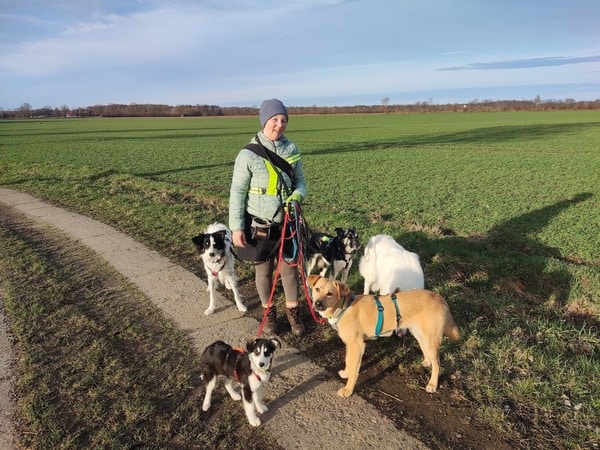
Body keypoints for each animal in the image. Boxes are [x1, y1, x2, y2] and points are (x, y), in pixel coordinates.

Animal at [307, 274, 459, 397]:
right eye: (317, 289)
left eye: (330, 293)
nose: (317, 304)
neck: (344, 306)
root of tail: (440, 298)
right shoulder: (351, 345)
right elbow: (348, 361)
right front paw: (346, 372)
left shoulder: (357, 346)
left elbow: (354, 369)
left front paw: (348, 390)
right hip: (420, 334)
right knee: (427, 353)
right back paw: (427, 362)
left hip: (431, 339)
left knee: (438, 363)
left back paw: (432, 384)